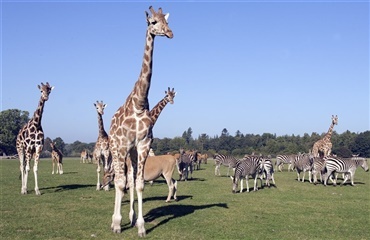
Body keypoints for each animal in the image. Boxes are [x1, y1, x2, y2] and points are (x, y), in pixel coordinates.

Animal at [108, 6, 173, 237]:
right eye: (153, 22)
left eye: (166, 21)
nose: (170, 33)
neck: (139, 102)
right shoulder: (123, 146)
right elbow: (120, 184)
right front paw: (117, 224)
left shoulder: (144, 145)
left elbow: (139, 184)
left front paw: (141, 225)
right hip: (116, 148)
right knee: (119, 181)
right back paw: (116, 221)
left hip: (133, 153)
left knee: (131, 178)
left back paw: (132, 217)